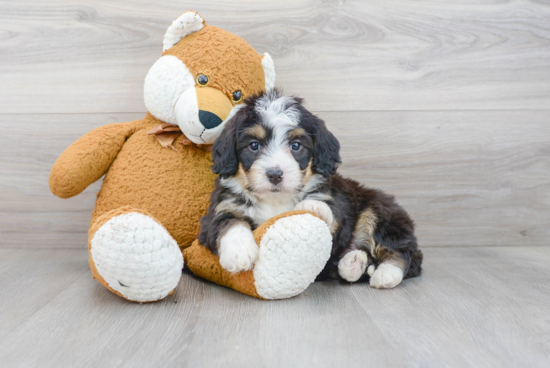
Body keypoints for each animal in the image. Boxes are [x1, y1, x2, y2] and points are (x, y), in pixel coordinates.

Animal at [201, 89, 424, 288]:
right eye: (254, 146)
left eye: (296, 146)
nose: (275, 174)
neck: (275, 200)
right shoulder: (221, 209)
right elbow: (228, 222)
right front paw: (239, 252)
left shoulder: (335, 199)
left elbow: (333, 215)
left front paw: (315, 207)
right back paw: (353, 264)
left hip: (381, 212)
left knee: (404, 253)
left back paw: (386, 274)